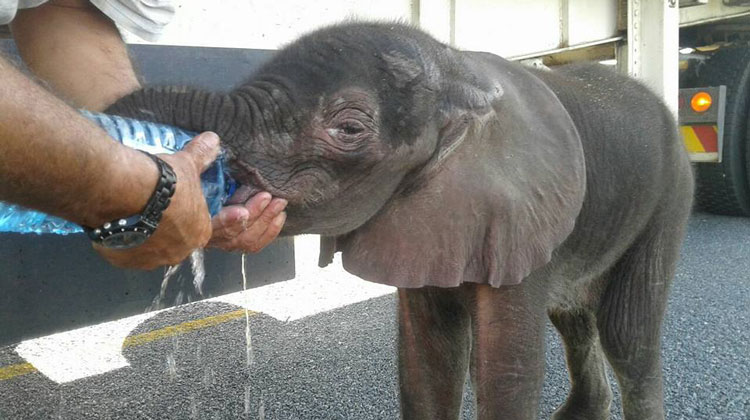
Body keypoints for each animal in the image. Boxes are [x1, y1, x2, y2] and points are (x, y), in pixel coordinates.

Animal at [108, 22, 696, 420]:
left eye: (349, 128)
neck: (458, 73)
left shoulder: (520, 209)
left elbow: (507, 371)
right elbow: (428, 363)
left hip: (671, 194)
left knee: (626, 334)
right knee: (575, 319)